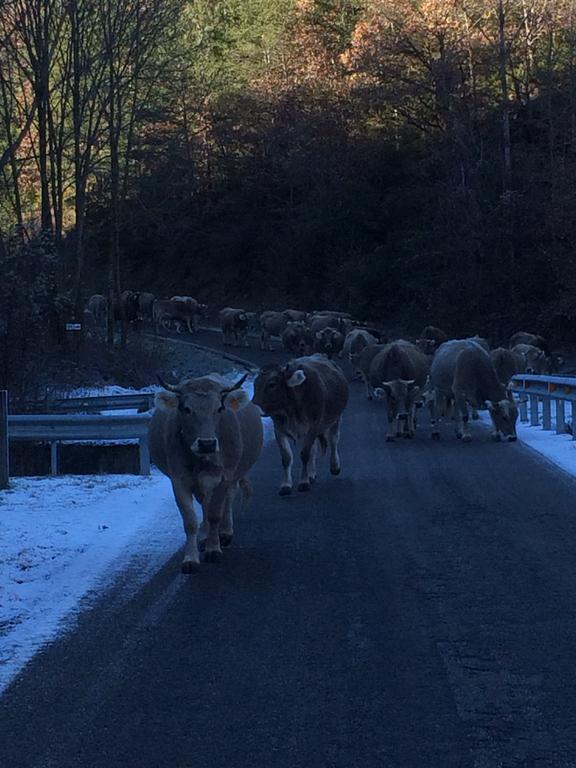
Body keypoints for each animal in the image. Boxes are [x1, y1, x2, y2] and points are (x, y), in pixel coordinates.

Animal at [150, 376, 264, 572]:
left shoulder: (224, 478)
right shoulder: (179, 480)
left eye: (219, 408)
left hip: (233, 475)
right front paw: (191, 558)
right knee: (205, 503)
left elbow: (215, 514)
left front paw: (213, 549)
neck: (201, 460)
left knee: (227, 499)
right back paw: (204, 536)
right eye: (187, 409)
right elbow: (190, 520)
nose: (207, 443)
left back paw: (224, 533)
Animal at [254, 356, 348, 496]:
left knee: (333, 440)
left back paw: (334, 466)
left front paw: (303, 482)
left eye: (272, 384)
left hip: (336, 418)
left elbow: (304, 455)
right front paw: (286, 485)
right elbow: (287, 457)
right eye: (255, 384)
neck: (290, 410)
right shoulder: (279, 429)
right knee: (314, 449)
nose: (253, 405)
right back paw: (311, 475)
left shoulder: (313, 426)